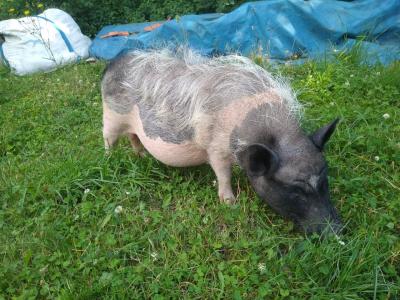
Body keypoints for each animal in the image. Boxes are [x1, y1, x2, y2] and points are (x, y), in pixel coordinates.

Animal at [101, 48, 342, 234]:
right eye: (295, 191)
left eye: (325, 180)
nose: (337, 231)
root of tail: (112, 64)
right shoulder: (216, 149)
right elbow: (223, 174)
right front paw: (230, 204)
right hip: (112, 115)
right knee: (108, 137)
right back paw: (109, 159)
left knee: (133, 136)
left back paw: (141, 156)